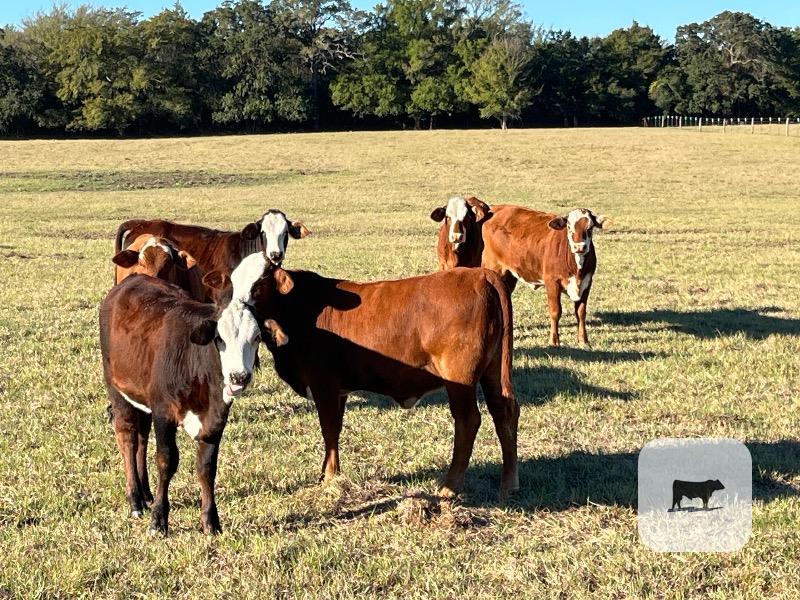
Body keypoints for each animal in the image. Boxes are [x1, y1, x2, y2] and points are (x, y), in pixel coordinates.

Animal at [99, 272, 287, 535]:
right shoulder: (163, 412)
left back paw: (146, 494)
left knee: (142, 438)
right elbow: (166, 461)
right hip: (117, 390)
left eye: (257, 337)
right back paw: (135, 499)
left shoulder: (215, 420)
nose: (239, 377)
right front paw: (158, 520)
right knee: (127, 438)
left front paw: (211, 521)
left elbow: (206, 468)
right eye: (219, 338)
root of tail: (131, 280)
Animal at [213, 253, 520, 499]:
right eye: (234, 282)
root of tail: (480, 274)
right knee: (504, 412)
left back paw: (450, 486)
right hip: (493, 373)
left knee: (468, 421)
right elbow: (335, 430)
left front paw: (330, 478)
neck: (301, 309)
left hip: (460, 380)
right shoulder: (339, 390)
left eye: (259, 285)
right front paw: (326, 474)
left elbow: (329, 429)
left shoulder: (324, 385)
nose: (236, 307)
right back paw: (508, 484)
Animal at [431, 196, 611, 346]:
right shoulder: (552, 282)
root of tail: (493, 211)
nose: (580, 247)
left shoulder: (586, 283)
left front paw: (583, 340)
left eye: (590, 227)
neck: (575, 265)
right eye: (569, 227)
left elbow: (581, 312)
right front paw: (554, 341)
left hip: (509, 275)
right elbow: (555, 312)